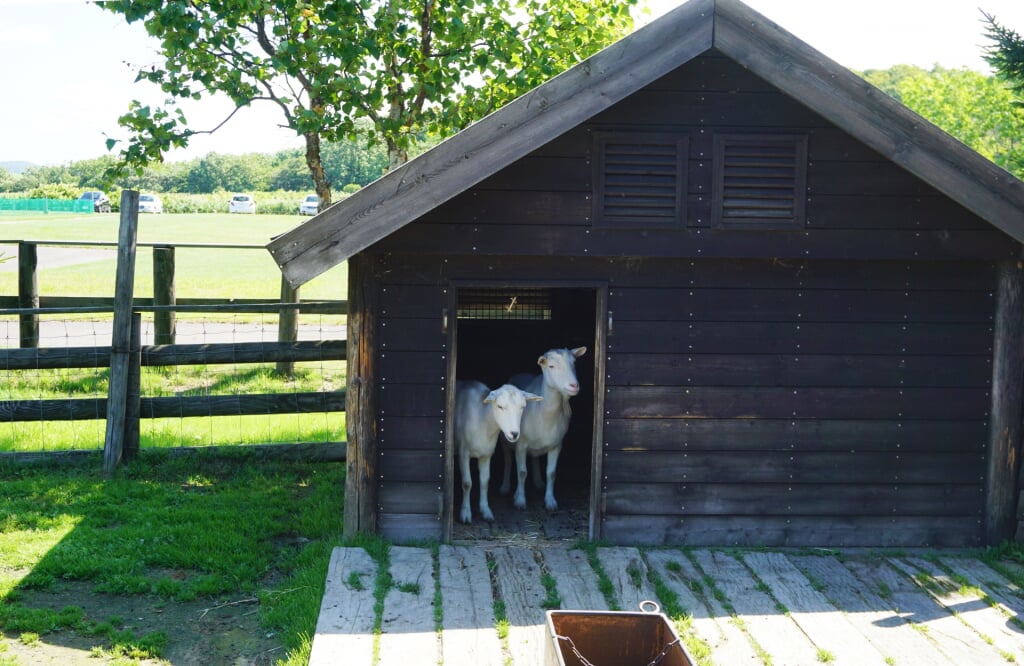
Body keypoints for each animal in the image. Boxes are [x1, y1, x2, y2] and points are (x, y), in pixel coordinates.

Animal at [452, 381, 540, 520]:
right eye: (499, 406)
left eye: (523, 407)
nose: (514, 434)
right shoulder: (463, 453)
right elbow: (467, 483)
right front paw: (465, 513)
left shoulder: (486, 454)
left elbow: (484, 482)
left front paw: (485, 510)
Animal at [499, 348, 589, 508]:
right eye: (551, 366)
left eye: (574, 363)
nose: (574, 386)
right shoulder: (521, 445)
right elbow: (522, 472)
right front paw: (520, 500)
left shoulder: (557, 445)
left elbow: (551, 474)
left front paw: (550, 501)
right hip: (506, 441)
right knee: (508, 461)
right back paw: (505, 487)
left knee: (534, 458)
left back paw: (538, 482)